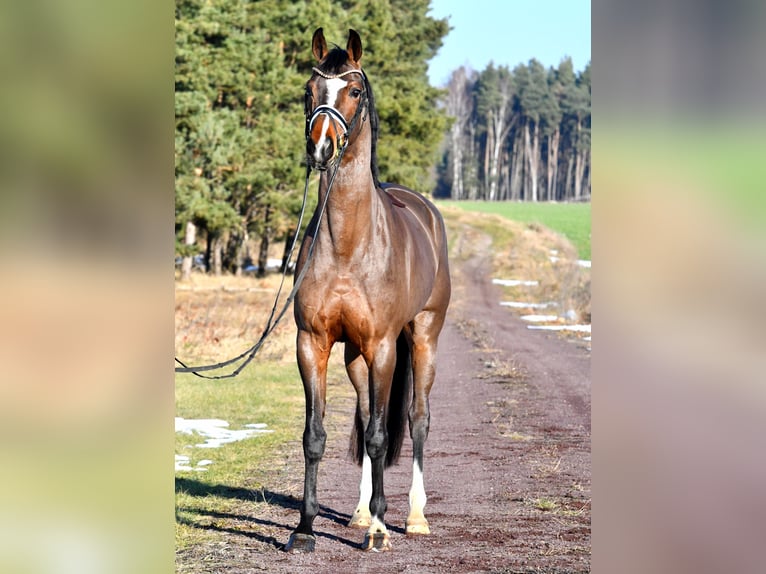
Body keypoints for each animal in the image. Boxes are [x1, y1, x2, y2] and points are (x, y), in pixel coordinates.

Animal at [285, 28, 451, 553]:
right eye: (310, 90)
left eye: (354, 91)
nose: (321, 148)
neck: (348, 245)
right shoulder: (312, 344)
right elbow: (316, 435)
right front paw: (305, 528)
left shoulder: (384, 347)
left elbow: (380, 436)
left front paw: (380, 528)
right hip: (355, 356)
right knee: (362, 415)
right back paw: (359, 513)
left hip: (422, 338)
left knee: (417, 419)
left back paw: (412, 516)